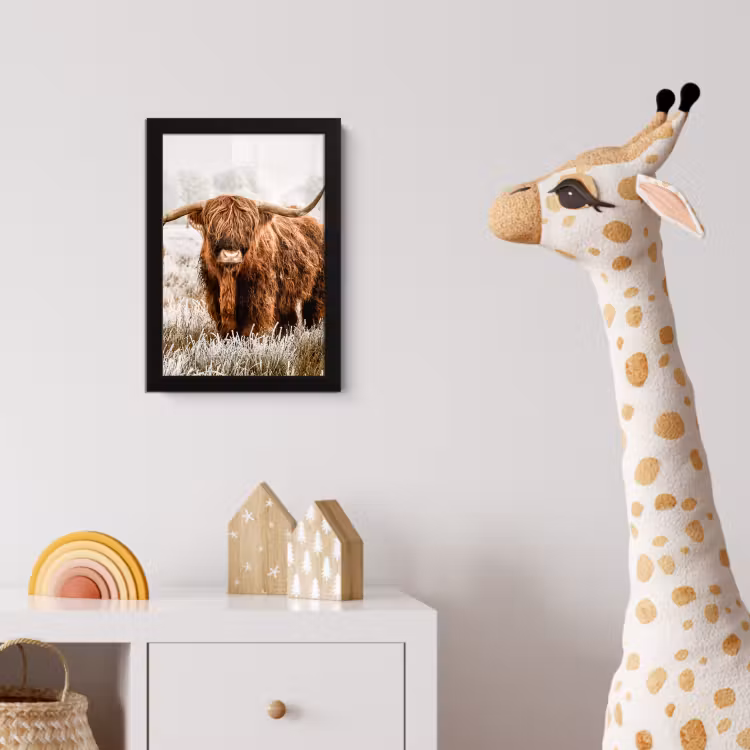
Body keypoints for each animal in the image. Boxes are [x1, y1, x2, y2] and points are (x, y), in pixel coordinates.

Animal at [162, 188, 325, 337]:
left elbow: (250, 326)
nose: (230, 255)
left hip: (317, 286)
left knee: (313, 310)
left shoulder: (258, 295)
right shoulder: (214, 291)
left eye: (248, 228)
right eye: (213, 227)